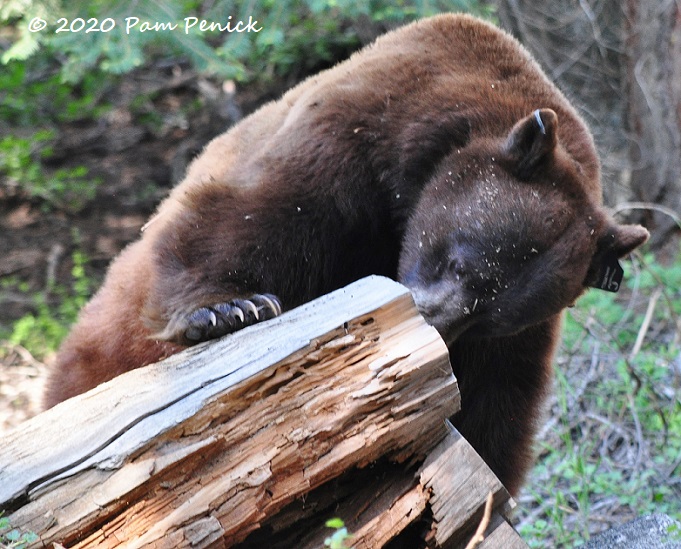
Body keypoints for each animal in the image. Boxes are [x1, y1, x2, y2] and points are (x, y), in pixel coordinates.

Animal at [43, 12, 648, 494]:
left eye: (489, 313)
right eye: (460, 261)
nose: (430, 318)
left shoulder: (518, 339)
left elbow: (495, 402)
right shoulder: (355, 139)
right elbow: (254, 212)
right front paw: (228, 308)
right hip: (106, 346)